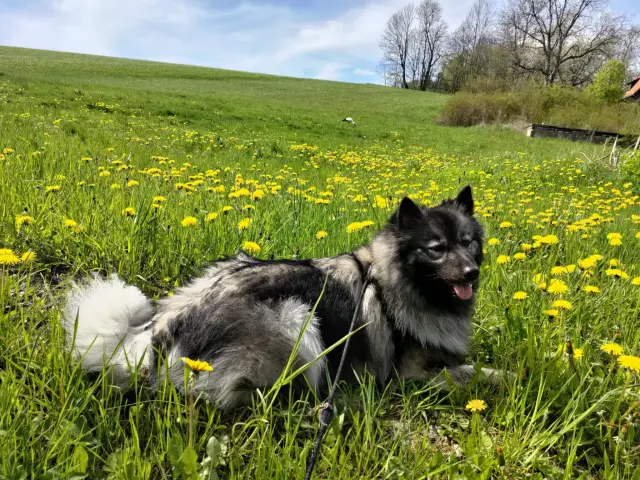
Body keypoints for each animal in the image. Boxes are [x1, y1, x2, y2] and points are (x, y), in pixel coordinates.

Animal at [63, 185, 503, 410]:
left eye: (467, 243)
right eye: (437, 249)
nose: (472, 272)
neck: (388, 281)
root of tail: (158, 333)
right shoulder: (411, 374)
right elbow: (473, 373)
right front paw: (505, 378)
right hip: (297, 323)